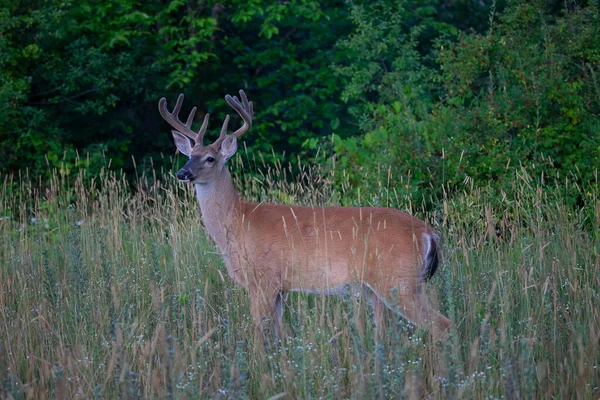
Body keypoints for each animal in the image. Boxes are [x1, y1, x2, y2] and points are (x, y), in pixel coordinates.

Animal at [159, 89, 450, 340]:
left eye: (210, 158)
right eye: (189, 154)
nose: (182, 173)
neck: (238, 221)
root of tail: (428, 233)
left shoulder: (264, 278)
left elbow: (258, 334)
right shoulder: (281, 288)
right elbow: (279, 334)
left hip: (400, 282)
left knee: (442, 325)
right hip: (380, 289)